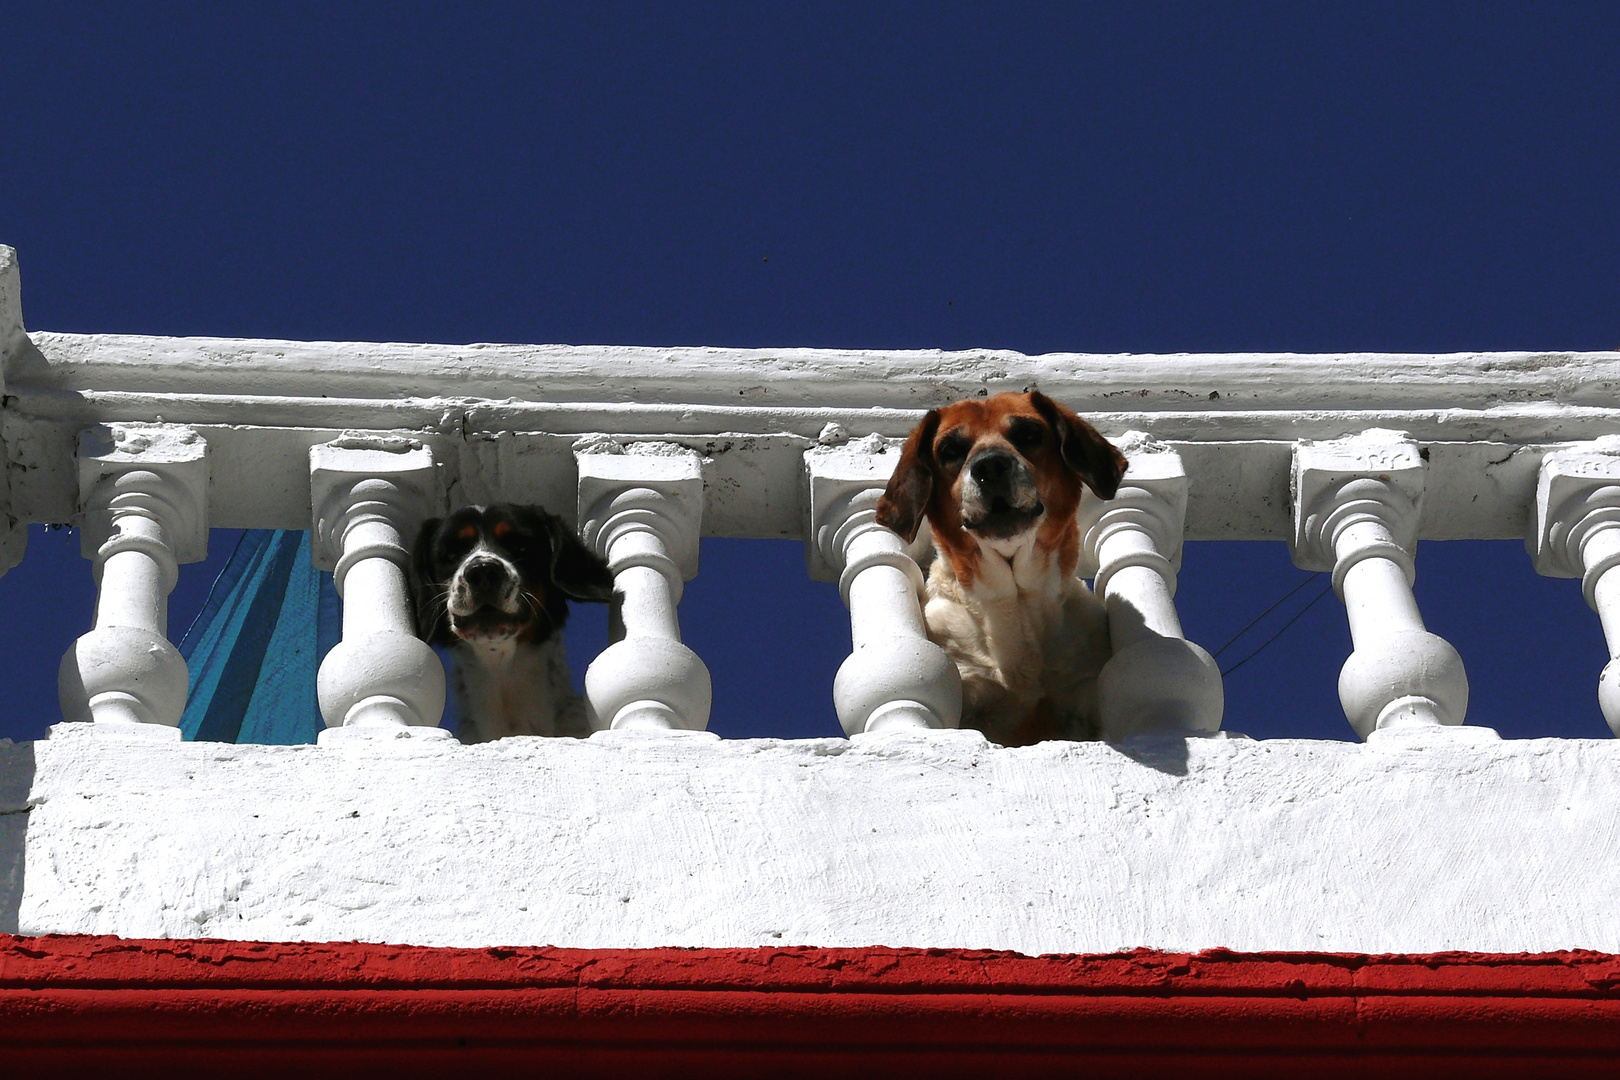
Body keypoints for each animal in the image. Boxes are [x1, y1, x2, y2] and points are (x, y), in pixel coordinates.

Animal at [874, 393, 1127, 748]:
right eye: (950, 450)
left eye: (1029, 434)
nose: (990, 466)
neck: (1015, 604)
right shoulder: (967, 691)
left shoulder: (1084, 690)